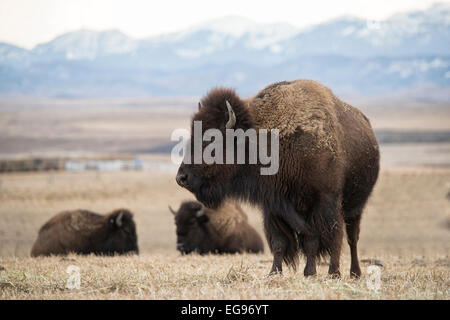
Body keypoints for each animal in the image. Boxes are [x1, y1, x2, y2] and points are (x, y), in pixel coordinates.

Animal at [176, 79, 380, 278]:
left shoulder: (323, 202)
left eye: (211, 140)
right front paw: (274, 273)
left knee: (351, 238)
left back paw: (353, 273)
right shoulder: (274, 206)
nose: (181, 177)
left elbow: (323, 239)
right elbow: (279, 242)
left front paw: (322, 273)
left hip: (355, 207)